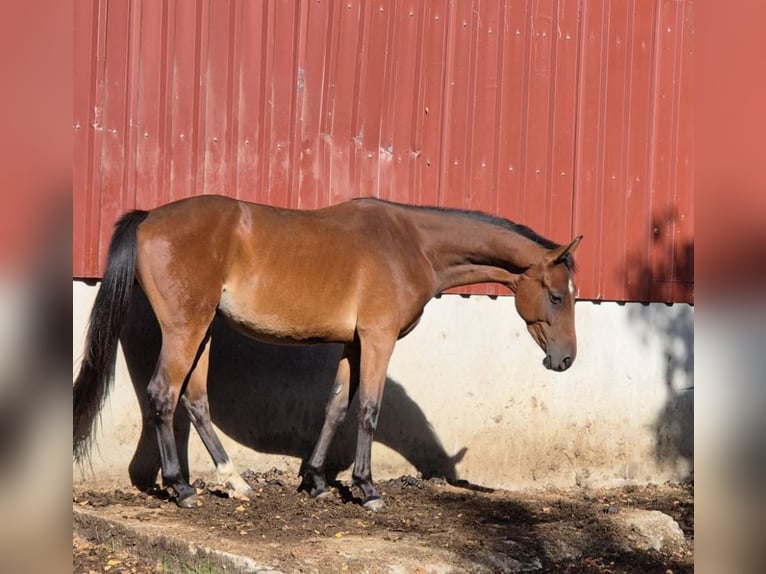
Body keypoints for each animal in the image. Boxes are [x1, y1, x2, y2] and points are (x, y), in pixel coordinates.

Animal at [73, 195, 582, 511]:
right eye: (557, 296)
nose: (565, 360)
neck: (411, 243)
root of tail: (149, 217)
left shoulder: (353, 344)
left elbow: (336, 407)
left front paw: (316, 481)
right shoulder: (378, 339)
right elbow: (369, 410)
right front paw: (366, 488)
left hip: (203, 332)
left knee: (195, 402)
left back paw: (234, 482)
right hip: (186, 329)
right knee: (163, 395)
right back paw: (181, 488)